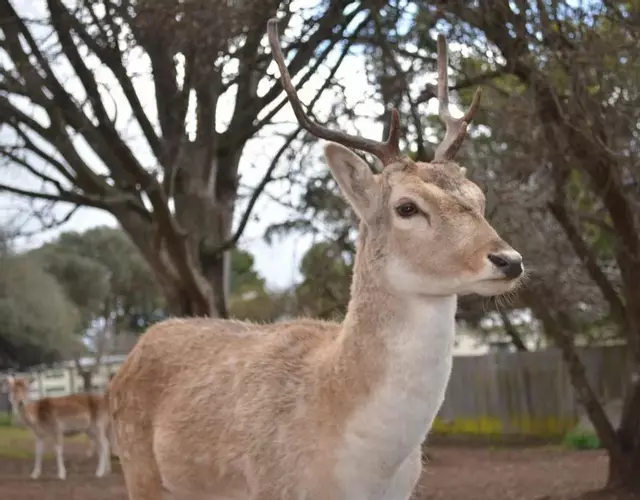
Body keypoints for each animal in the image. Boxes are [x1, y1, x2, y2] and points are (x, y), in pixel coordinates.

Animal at [107, 18, 524, 500]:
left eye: (478, 197)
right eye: (406, 207)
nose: (509, 260)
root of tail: (126, 363)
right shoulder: (273, 486)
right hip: (137, 468)